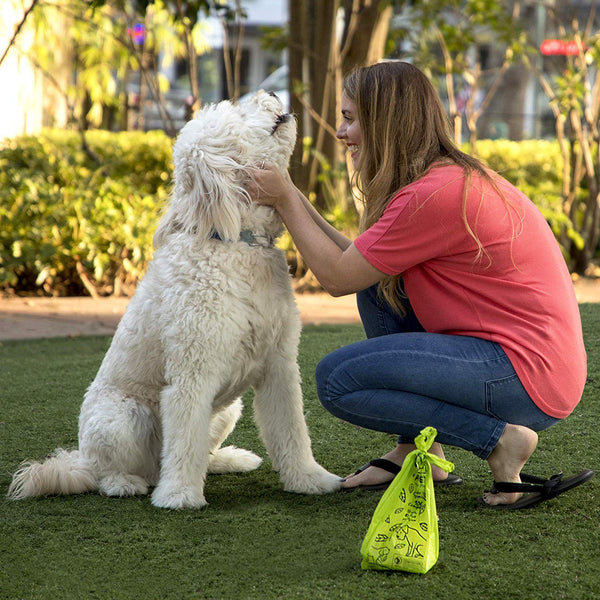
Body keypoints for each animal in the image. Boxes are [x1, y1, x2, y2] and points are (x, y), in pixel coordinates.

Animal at [7, 91, 342, 508]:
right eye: (235, 113)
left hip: (228, 409)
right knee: (109, 472)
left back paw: (227, 460)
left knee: (203, 452)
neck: (237, 245)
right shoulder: (191, 374)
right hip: (122, 418)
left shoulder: (278, 366)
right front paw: (179, 496)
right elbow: (184, 441)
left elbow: (293, 431)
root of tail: (79, 460)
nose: (269, 94)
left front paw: (310, 479)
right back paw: (128, 483)